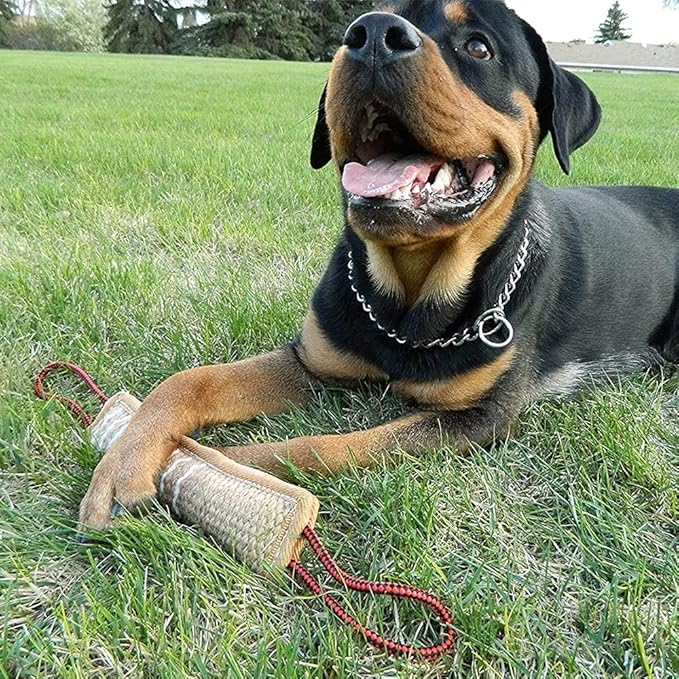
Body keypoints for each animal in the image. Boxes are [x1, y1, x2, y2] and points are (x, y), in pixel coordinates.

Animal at [79, 0, 679, 532]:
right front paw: (124, 462)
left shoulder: (478, 418)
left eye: (478, 47)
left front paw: (226, 465)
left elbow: (328, 446)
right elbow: (188, 382)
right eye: (359, 25)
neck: (408, 296)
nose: (370, 36)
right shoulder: (312, 360)